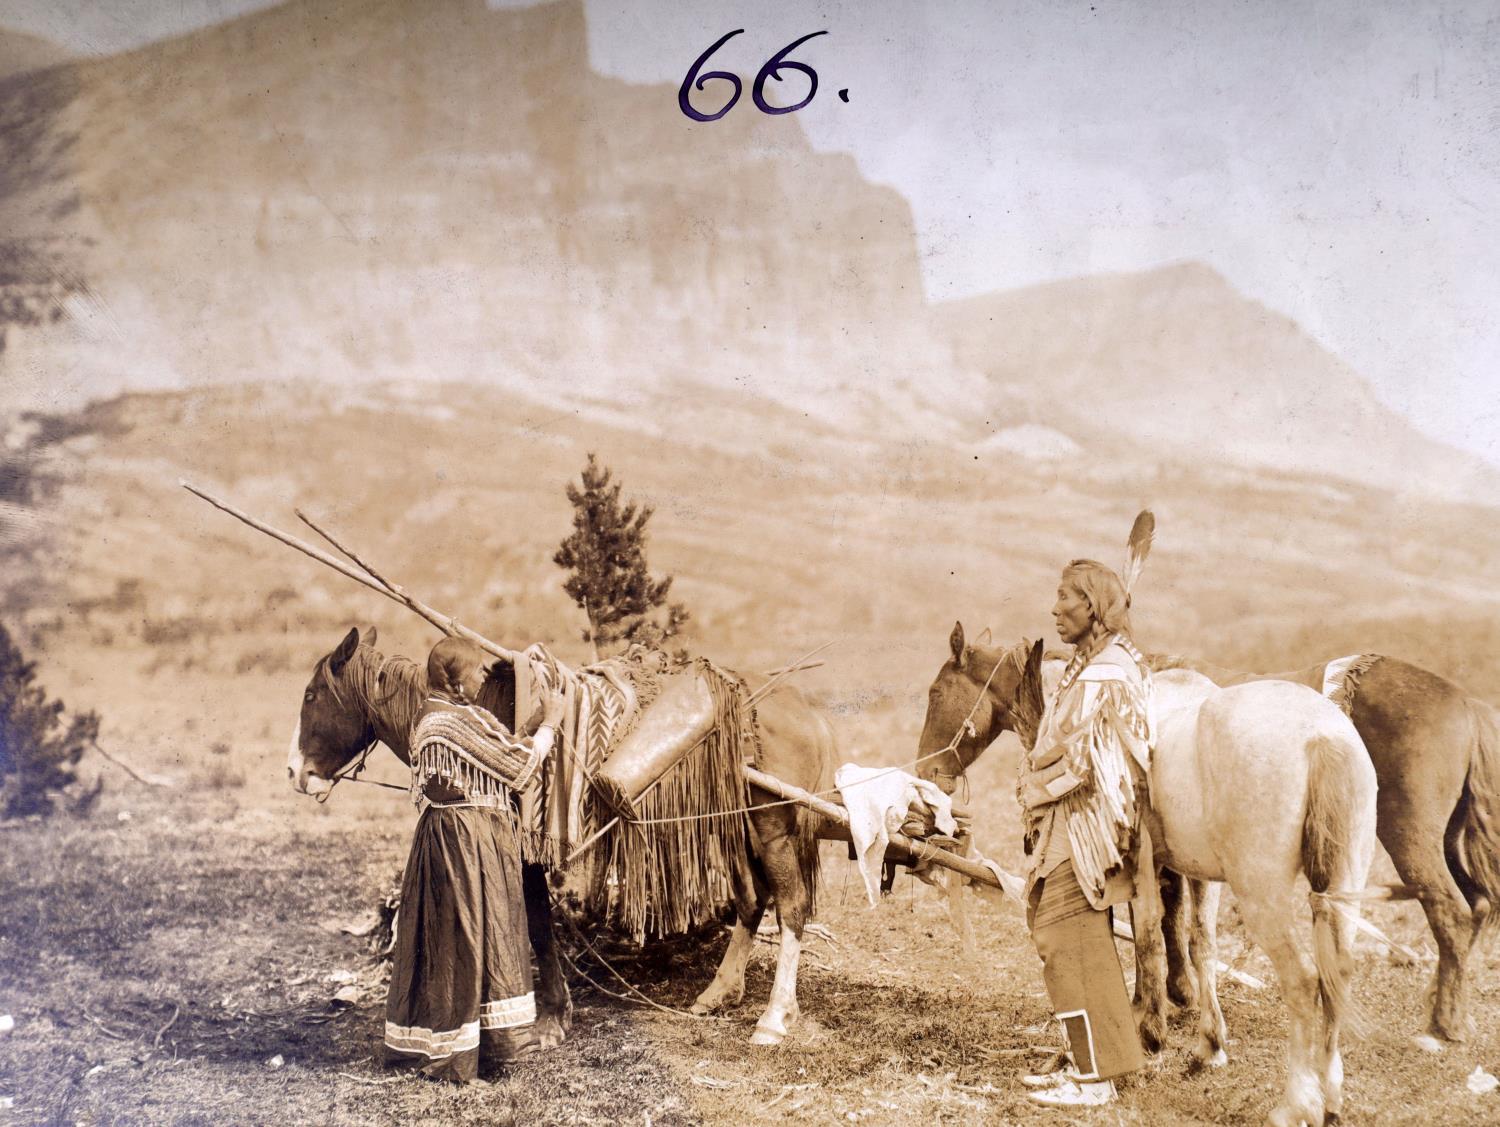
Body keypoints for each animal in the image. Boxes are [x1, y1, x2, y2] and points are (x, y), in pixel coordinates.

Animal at [286, 627, 840, 1050]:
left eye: (312, 696)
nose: (295, 772)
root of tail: (806, 711)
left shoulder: (526, 849)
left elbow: (536, 924)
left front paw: (552, 1018)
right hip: (742, 826)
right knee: (754, 900)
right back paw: (720, 992)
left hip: (772, 828)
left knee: (792, 906)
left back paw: (773, 1019)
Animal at [906, 627, 1374, 1127]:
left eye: (936, 693)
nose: (926, 771)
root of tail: (1321, 737)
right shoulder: (1198, 874)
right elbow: (1197, 942)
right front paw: (1208, 1043)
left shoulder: (1138, 861)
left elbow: (1147, 935)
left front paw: (1149, 1029)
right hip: (1340, 892)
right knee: (1338, 974)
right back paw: (1330, 1097)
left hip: (1263, 894)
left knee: (1304, 981)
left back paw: (1297, 1103)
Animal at [1158, 651, 1500, 1050]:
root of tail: (1466, 704)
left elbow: (1169, 914)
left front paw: (1179, 992)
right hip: (1444, 841)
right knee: (1476, 906)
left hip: (1410, 839)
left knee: (1452, 912)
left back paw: (1442, 1024)